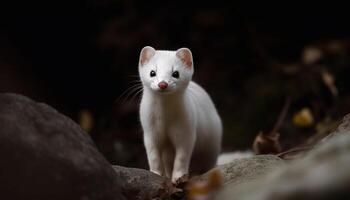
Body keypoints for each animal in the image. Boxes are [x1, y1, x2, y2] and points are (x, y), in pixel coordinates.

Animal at [137, 45, 221, 183]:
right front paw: (156, 173)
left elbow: (182, 156)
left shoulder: (186, 129)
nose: (163, 84)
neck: (165, 118)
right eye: (152, 72)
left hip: (212, 147)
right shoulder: (149, 130)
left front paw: (179, 177)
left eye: (176, 73)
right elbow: (153, 155)